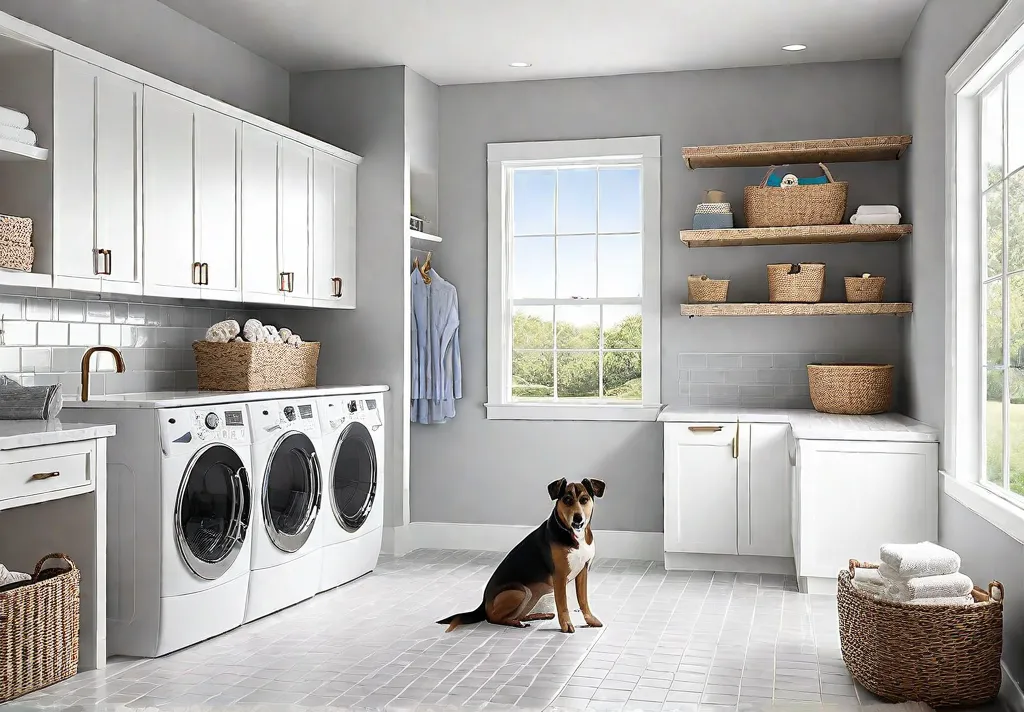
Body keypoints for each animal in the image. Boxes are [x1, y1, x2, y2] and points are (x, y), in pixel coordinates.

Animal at [436, 479, 602, 635]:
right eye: (567, 499)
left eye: (584, 500)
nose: (578, 519)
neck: (573, 534)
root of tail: (483, 604)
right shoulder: (559, 576)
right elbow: (563, 605)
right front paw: (566, 626)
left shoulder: (583, 572)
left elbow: (583, 601)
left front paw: (591, 620)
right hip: (521, 592)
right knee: (494, 618)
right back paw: (517, 623)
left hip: (533, 595)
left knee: (519, 614)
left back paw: (539, 615)